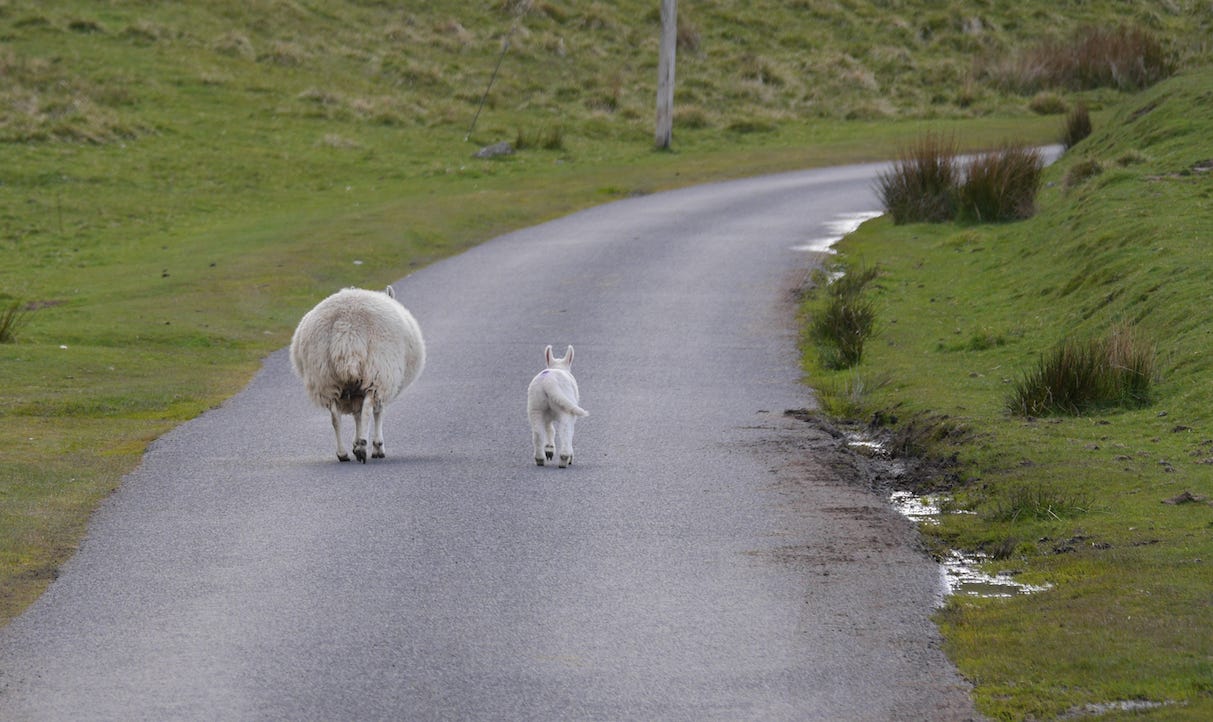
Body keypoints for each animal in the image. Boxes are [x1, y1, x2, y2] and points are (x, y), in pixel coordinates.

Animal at [288, 286, 426, 463]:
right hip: (378, 370)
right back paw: (362, 447)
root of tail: (346, 327)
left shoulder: (355, 391)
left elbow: (356, 415)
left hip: (325, 377)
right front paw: (376, 447)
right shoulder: (382, 380)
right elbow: (376, 412)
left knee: (335, 417)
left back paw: (343, 453)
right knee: (368, 409)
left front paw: (355, 443)